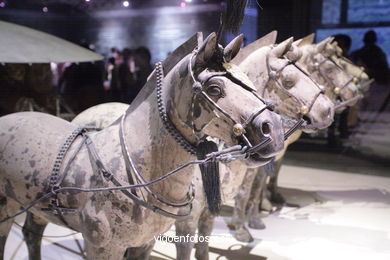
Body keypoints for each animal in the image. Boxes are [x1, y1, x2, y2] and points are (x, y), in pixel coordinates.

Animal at [0, 32, 284, 260]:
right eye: (214, 88)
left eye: (248, 80)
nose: (274, 130)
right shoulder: (102, 248)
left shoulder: (145, 243)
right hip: (6, 209)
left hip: (35, 208)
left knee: (32, 233)